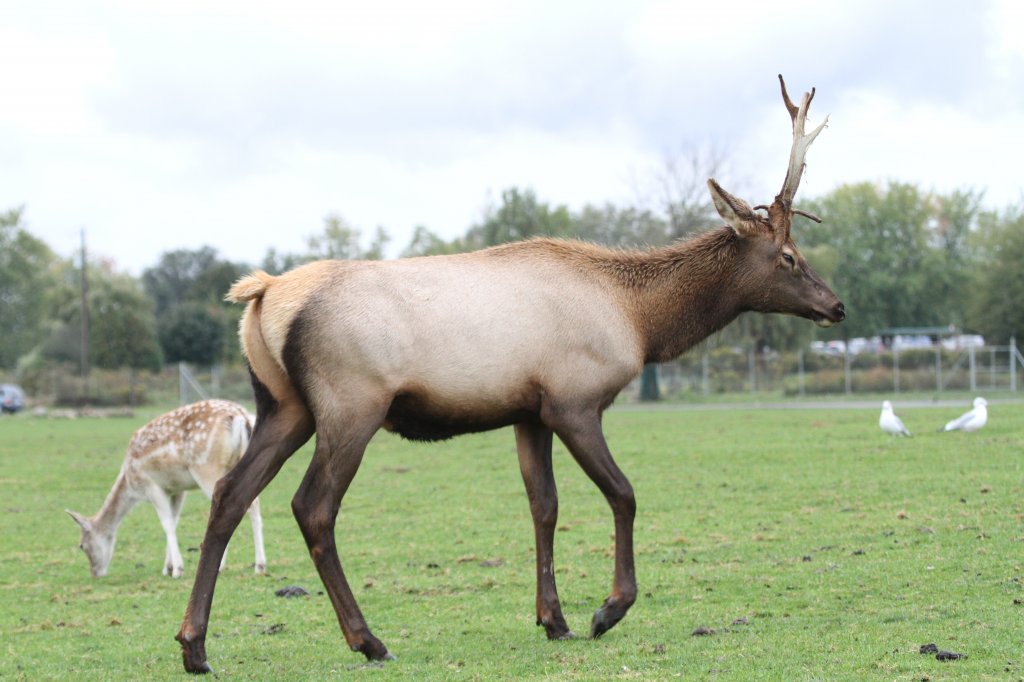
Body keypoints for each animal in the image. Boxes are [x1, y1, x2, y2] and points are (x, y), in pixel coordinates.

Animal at [67, 399, 266, 577]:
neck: (130, 482)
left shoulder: (150, 485)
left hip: (207, 467)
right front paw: (167, 568)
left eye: (82, 545)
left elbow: (167, 523)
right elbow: (175, 520)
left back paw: (236, 566)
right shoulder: (177, 489)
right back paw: (256, 565)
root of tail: (241, 417)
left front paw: (177, 569)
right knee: (253, 502)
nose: (95, 573)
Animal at [178, 76, 847, 671]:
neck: (639, 322)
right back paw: (368, 640)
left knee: (230, 494)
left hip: (283, 406)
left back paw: (195, 646)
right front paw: (608, 610)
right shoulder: (576, 400)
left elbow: (543, 506)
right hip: (350, 404)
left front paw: (554, 619)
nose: (837, 305)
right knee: (312, 507)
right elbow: (623, 493)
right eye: (789, 257)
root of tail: (262, 296)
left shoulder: (530, 411)